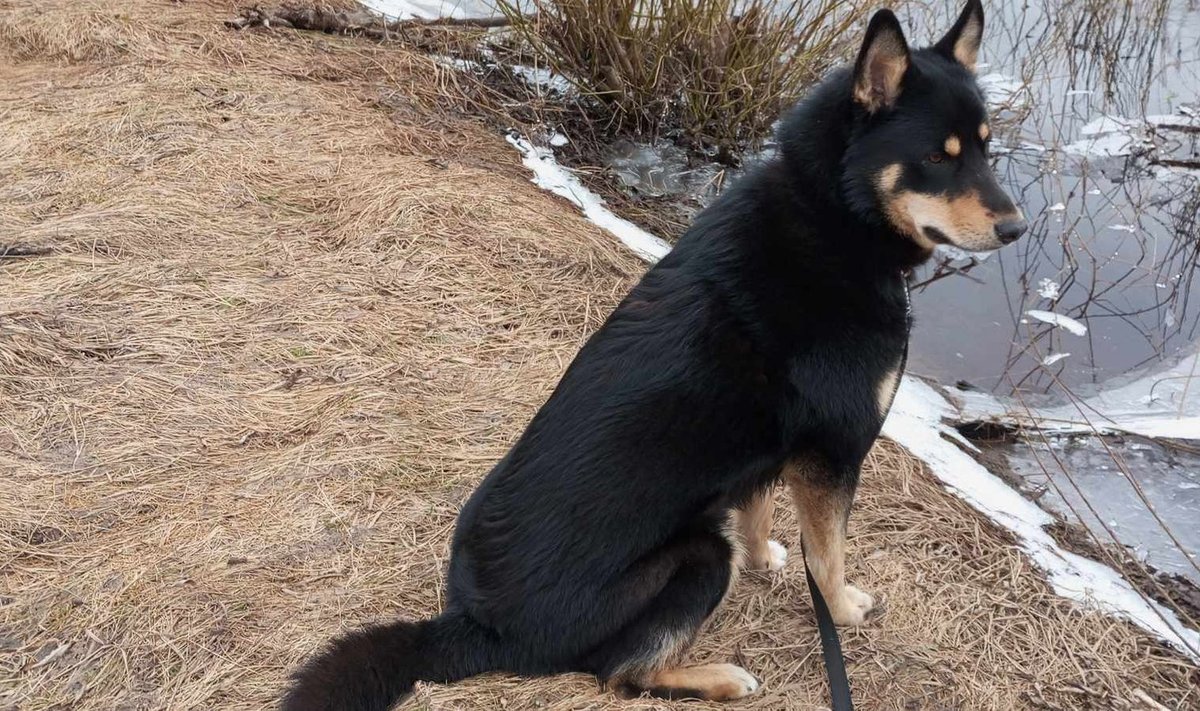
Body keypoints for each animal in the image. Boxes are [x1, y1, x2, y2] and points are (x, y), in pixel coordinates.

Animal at [278, 2, 1022, 706]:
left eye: (986, 151)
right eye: (937, 157)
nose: (1016, 229)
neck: (834, 215)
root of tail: (475, 626)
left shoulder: (779, 449)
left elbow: (760, 510)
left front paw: (766, 558)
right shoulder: (835, 449)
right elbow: (829, 555)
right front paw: (844, 610)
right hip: (700, 554)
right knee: (622, 673)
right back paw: (720, 677)